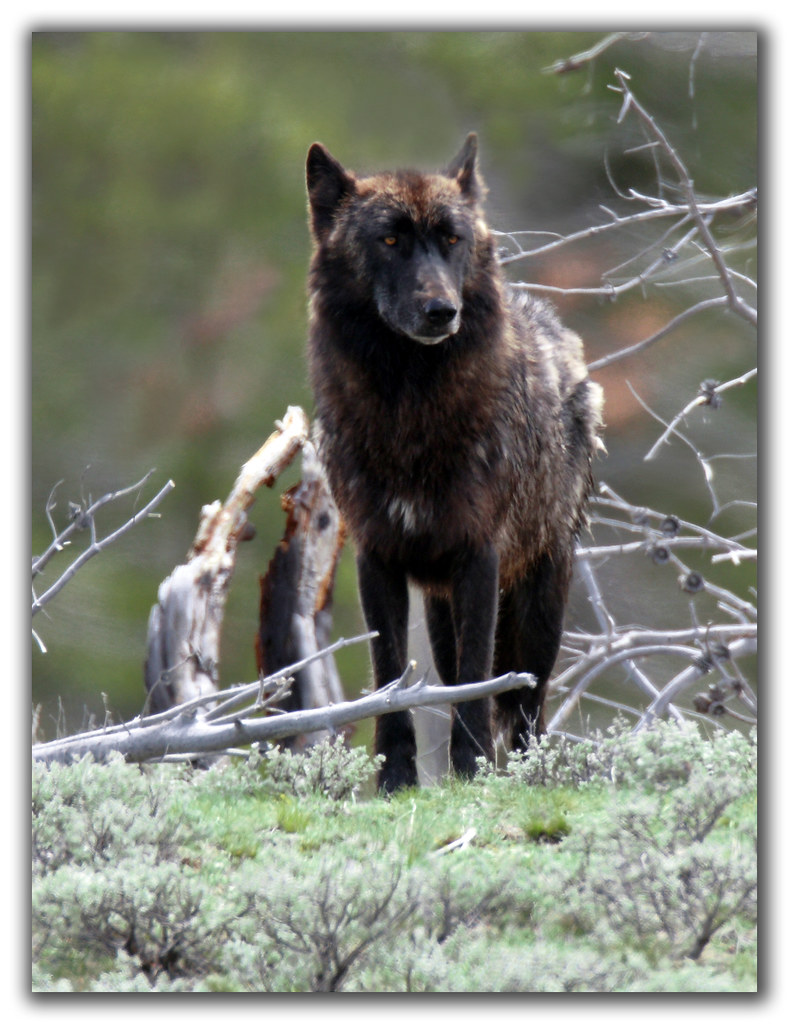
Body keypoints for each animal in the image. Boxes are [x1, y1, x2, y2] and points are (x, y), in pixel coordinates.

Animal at [305, 133, 604, 792]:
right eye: (390, 240)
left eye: (452, 240)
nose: (443, 311)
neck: (409, 413)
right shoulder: (377, 557)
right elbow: (391, 676)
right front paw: (395, 779)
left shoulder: (479, 557)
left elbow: (474, 682)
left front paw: (470, 771)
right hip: (441, 610)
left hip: (541, 600)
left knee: (526, 704)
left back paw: (523, 773)